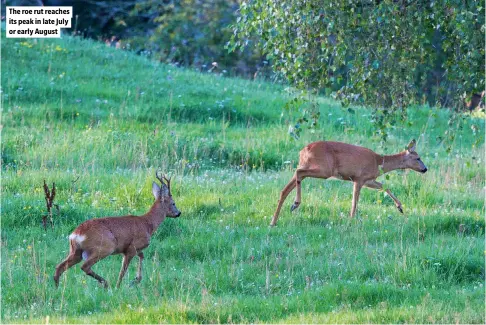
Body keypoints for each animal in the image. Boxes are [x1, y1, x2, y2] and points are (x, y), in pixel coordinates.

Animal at [53, 173, 181, 288]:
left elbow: (142, 256)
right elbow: (123, 271)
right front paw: (119, 286)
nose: (179, 213)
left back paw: (56, 288)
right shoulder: (131, 247)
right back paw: (106, 283)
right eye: (173, 203)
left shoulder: (132, 248)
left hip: (76, 251)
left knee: (59, 267)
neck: (148, 224)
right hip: (105, 246)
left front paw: (136, 279)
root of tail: (76, 233)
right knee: (84, 266)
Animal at [272, 139, 428, 225]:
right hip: (324, 169)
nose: (425, 169)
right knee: (298, 173)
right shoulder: (359, 178)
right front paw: (351, 220)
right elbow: (355, 202)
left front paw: (400, 207)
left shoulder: (368, 180)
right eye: (418, 158)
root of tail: (304, 150)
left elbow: (384, 186)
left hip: (311, 166)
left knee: (285, 188)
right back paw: (295, 203)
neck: (378, 162)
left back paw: (274, 221)